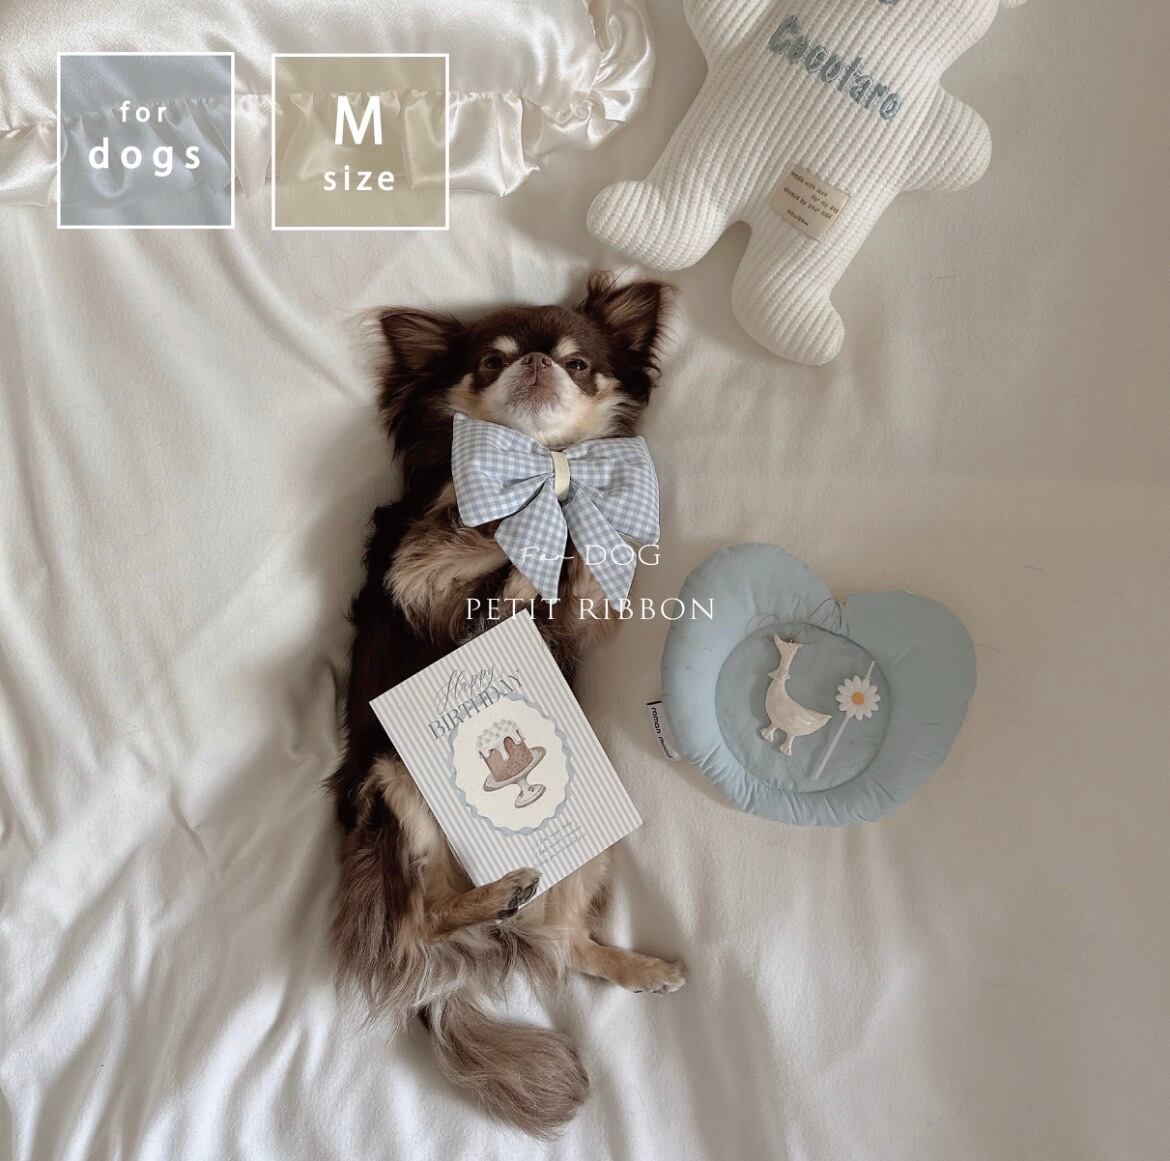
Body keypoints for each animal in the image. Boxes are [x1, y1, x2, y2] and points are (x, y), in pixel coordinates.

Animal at [327, 272, 685, 1137]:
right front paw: (536, 508)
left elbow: (576, 562)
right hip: (394, 785)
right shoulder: (423, 571)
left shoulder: (585, 611)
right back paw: (490, 896)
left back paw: (634, 963)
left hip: (590, 851)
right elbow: (494, 527)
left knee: (560, 941)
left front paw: (568, 517)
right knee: (422, 915)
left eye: (580, 364)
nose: (534, 362)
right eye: (489, 362)